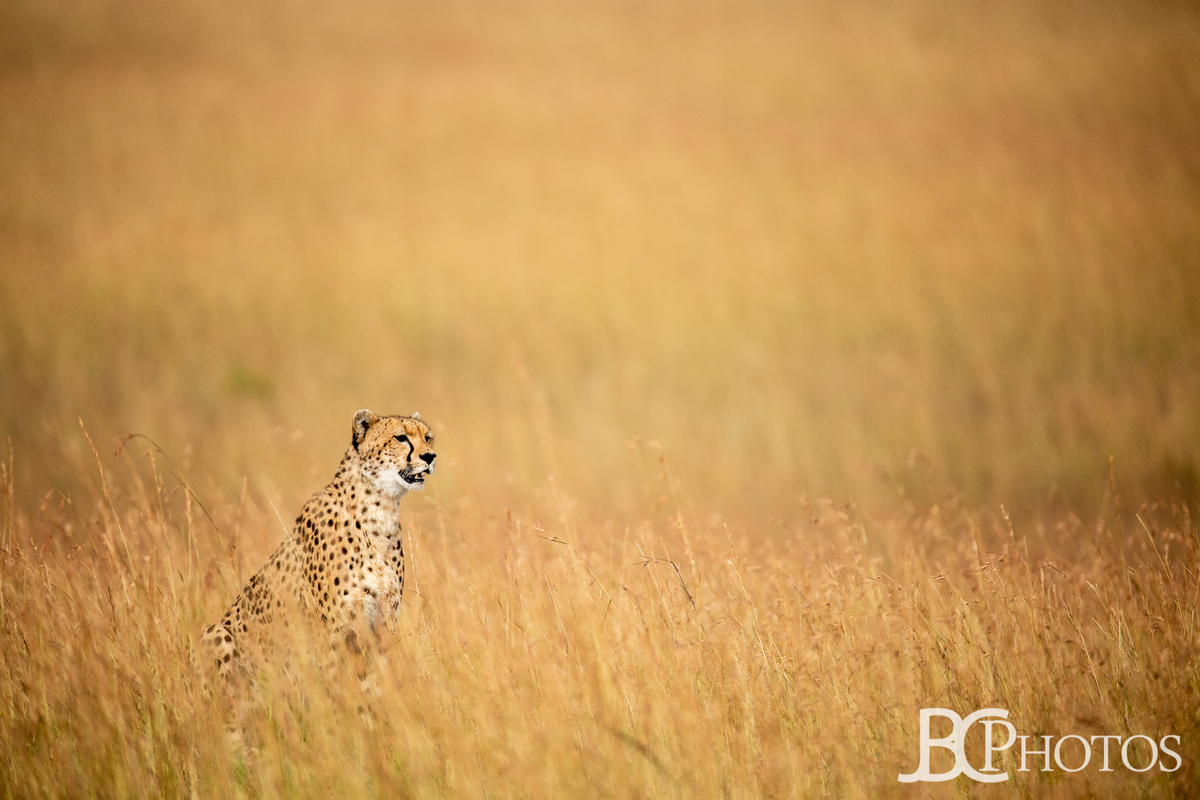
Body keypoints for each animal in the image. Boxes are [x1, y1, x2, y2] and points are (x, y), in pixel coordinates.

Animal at [201, 409, 436, 683]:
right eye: (400, 438)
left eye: (428, 438)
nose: (430, 457)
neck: (380, 509)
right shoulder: (335, 628)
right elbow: (337, 680)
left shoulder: (383, 622)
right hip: (215, 632)